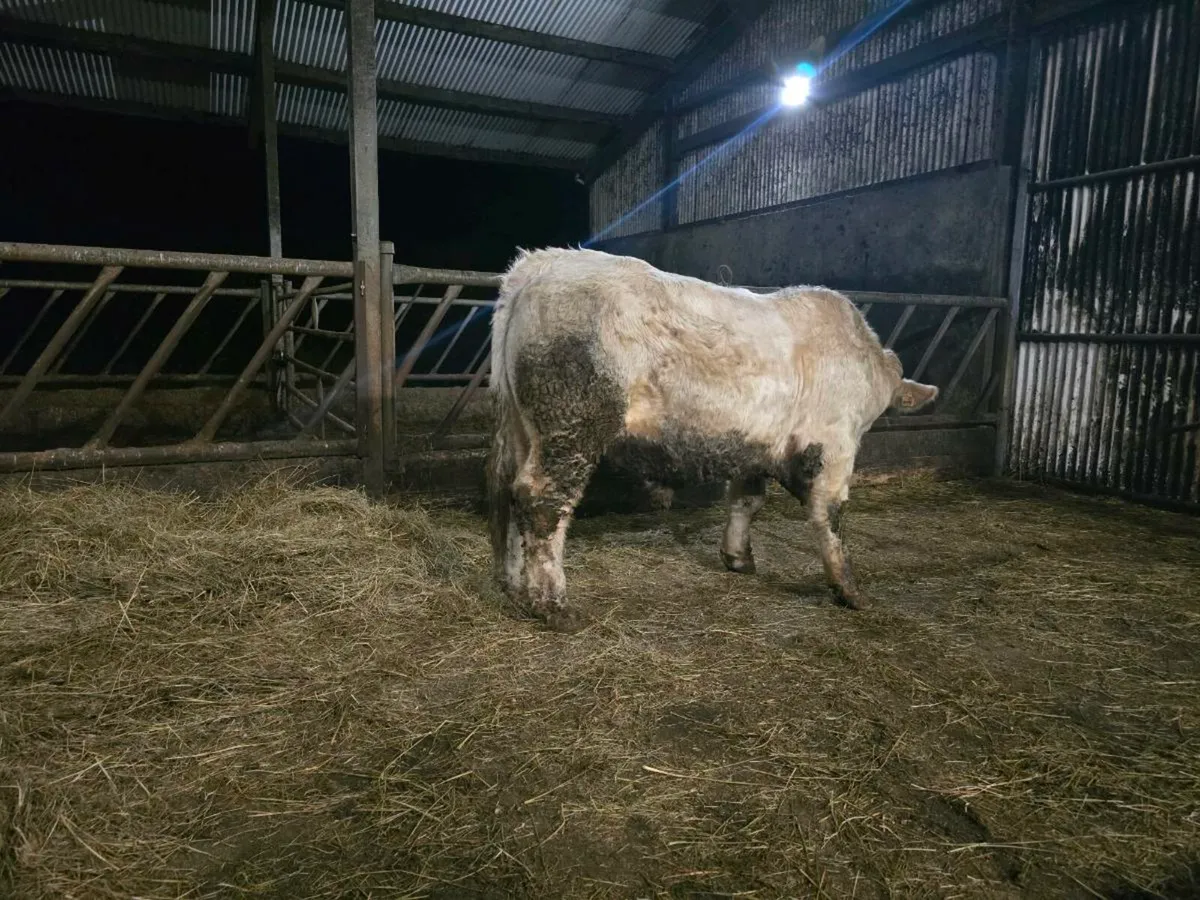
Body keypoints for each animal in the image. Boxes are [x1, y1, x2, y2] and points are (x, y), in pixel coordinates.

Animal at [486, 247, 938, 631]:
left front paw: (738, 557)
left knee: (510, 491)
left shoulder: (754, 448)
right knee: (542, 500)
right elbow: (830, 513)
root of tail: (541, 265)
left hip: (524, 429)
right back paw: (553, 605)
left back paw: (515, 587)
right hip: (572, 423)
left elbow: (746, 500)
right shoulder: (832, 444)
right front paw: (849, 590)